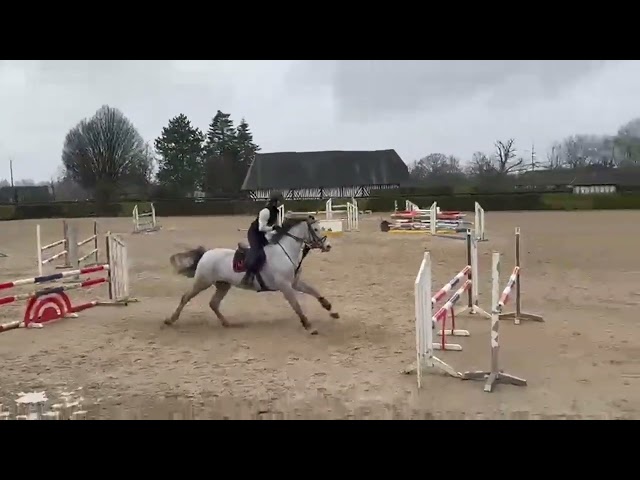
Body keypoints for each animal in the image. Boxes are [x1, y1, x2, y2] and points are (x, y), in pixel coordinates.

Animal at [166, 215, 339, 335]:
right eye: (316, 229)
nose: (328, 246)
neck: (285, 252)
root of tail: (206, 254)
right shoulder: (285, 286)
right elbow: (296, 306)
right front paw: (309, 326)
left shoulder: (295, 283)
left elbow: (314, 291)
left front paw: (331, 309)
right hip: (202, 282)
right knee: (186, 298)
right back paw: (170, 320)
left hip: (223, 285)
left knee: (213, 303)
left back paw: (227, 323)